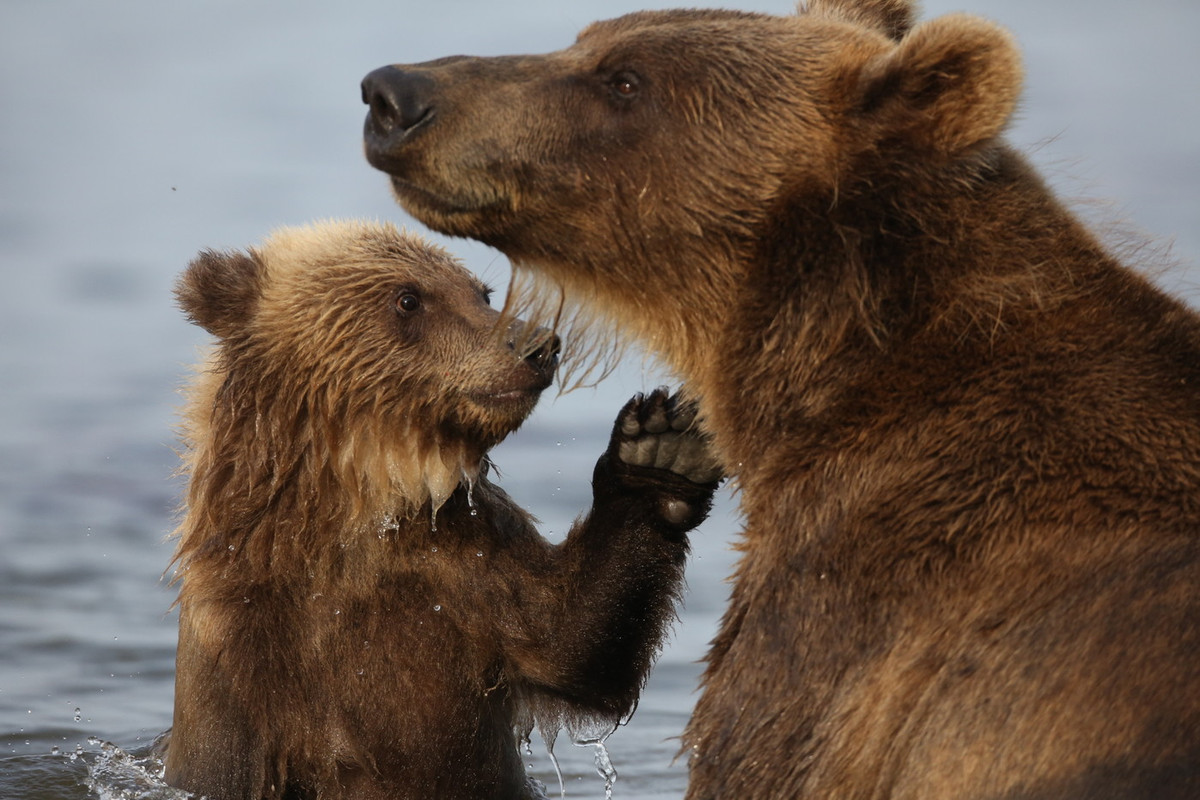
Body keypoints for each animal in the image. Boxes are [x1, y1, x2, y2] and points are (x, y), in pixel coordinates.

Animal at [160, 220, 720, 800]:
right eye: (408, 298)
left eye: (482, 292)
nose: (539, 343)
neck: (357, 519)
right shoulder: (246, 650)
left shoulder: (465, 565)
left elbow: (569, 640)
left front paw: (660, 448)